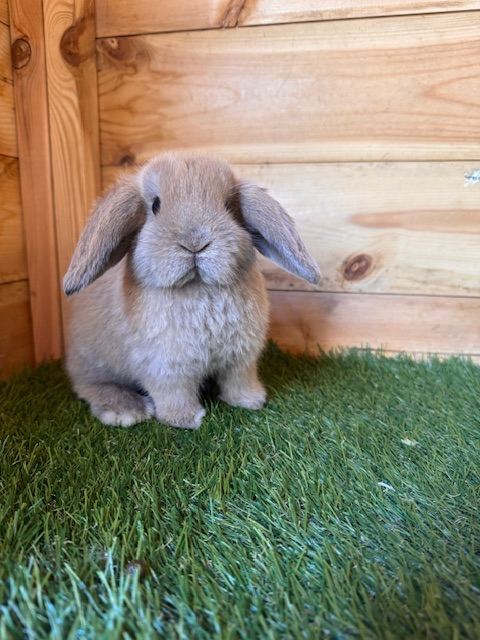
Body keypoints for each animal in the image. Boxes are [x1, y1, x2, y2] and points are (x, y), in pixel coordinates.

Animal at [63, 153, 320, 430]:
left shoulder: (241, 358)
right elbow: (175, 394)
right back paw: (126, 409)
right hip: (94, 364)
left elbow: (239, 381)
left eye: (228, 206)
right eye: (155, 206)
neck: (198, 288)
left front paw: (251, 401)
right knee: (88, 386)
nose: (195, 242)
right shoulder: (167, 368)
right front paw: (186, 420)